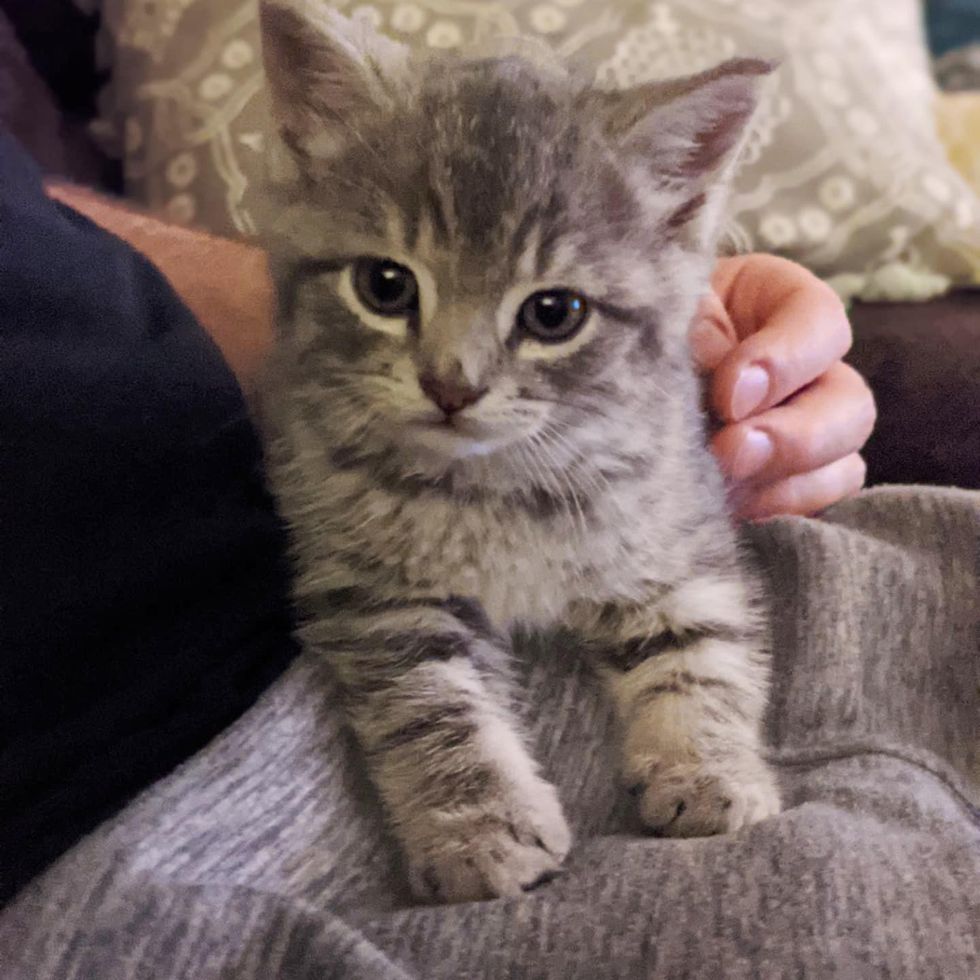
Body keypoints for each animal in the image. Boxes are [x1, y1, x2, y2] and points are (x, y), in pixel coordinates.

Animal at [258, 0, 780, 904]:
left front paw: (708, 769)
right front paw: (479, 825)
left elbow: (702, 656)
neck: (499, 484)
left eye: (553, 312)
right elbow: (435, 704)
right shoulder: (378, 594)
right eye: (385, 286)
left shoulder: (678, 536)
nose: (450, 384)